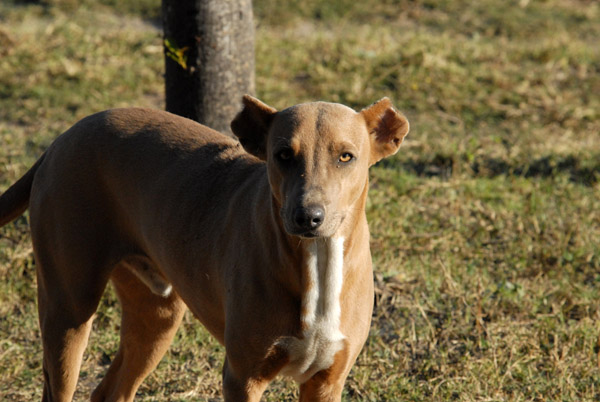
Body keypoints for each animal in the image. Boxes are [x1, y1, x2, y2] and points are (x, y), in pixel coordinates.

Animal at [0, 96, 408, 400]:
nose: (307, 216)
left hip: (156, 318)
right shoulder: (243, 378)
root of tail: (63, 138)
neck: (318, 263)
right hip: (68, 310)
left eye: (346, 156)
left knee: (111, 391)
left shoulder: (326, 383)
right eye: (283, 155)